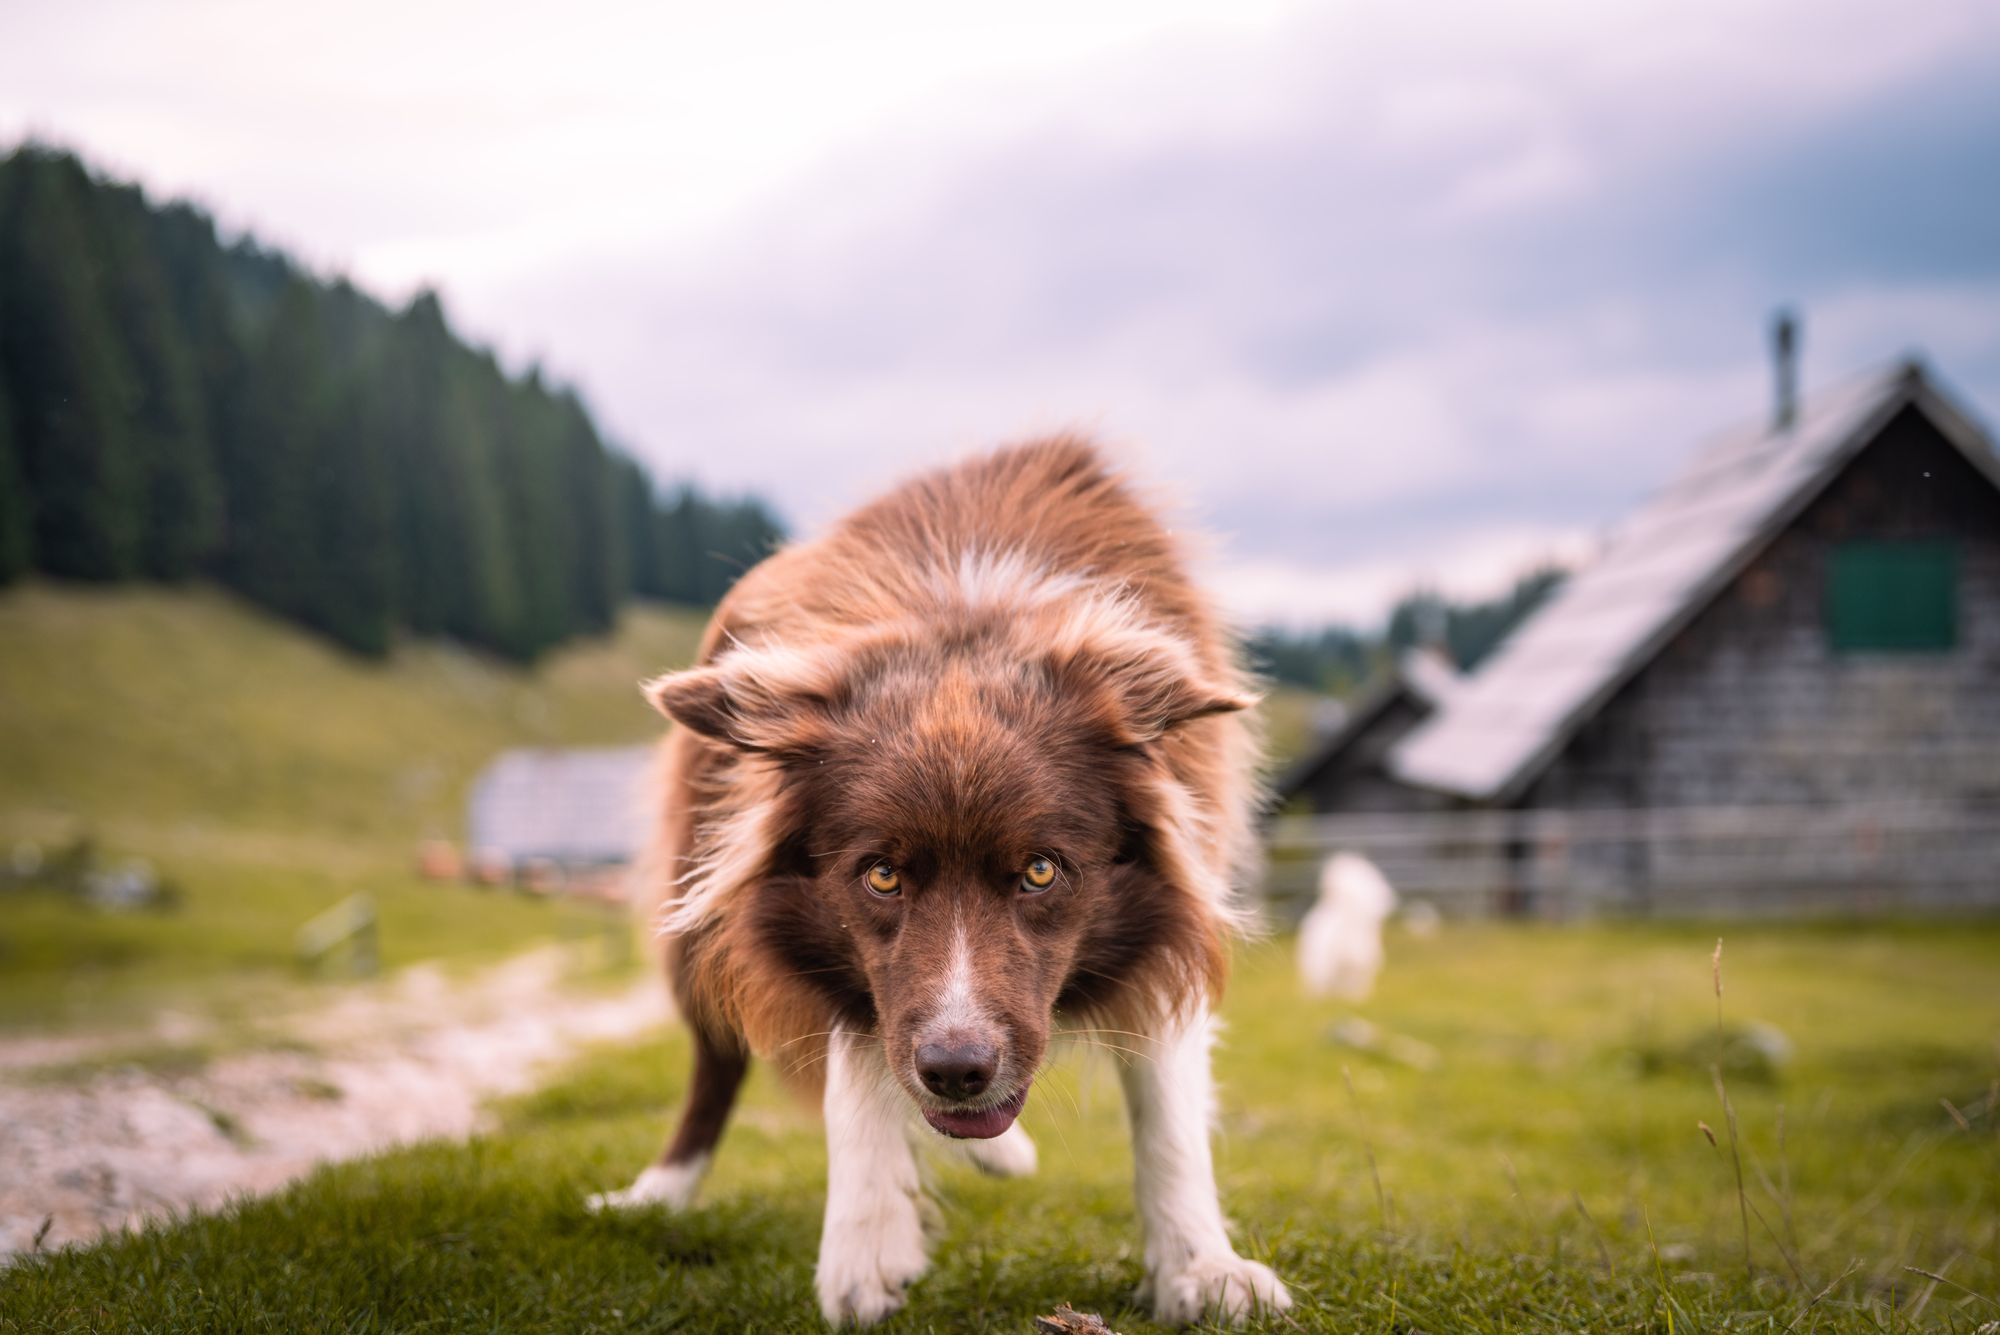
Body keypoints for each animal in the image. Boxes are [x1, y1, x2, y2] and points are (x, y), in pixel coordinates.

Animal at [584, 437, 1288, 1327]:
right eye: (882, 874)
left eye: (1040, 870)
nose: (956, 1071)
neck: (963, 615)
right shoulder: (841, 956)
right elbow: (855, 1066)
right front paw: (865, 1246)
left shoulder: (1172, 911)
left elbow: (1168, 1106)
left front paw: (1202, 1266)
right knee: (717, 1061)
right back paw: (659, 1193)